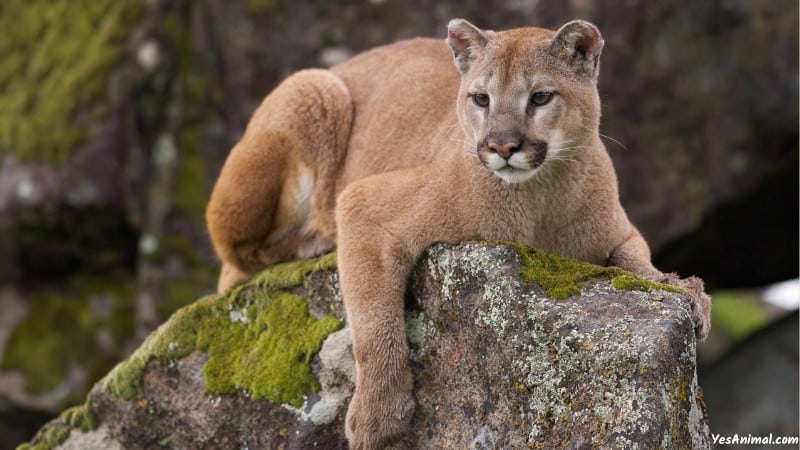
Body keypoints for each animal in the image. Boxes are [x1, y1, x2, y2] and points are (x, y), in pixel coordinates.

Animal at [208, 18, 712, 450]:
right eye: (481, 99)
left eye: (540, 97)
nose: (502, 146)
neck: (539, 199)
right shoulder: (364, 204)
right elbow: (374, 324)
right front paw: (378, 418)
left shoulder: (621, 231)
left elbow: (636, 261)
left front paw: (682, 289)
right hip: (313, 88)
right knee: (235, 259)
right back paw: (314, 240)